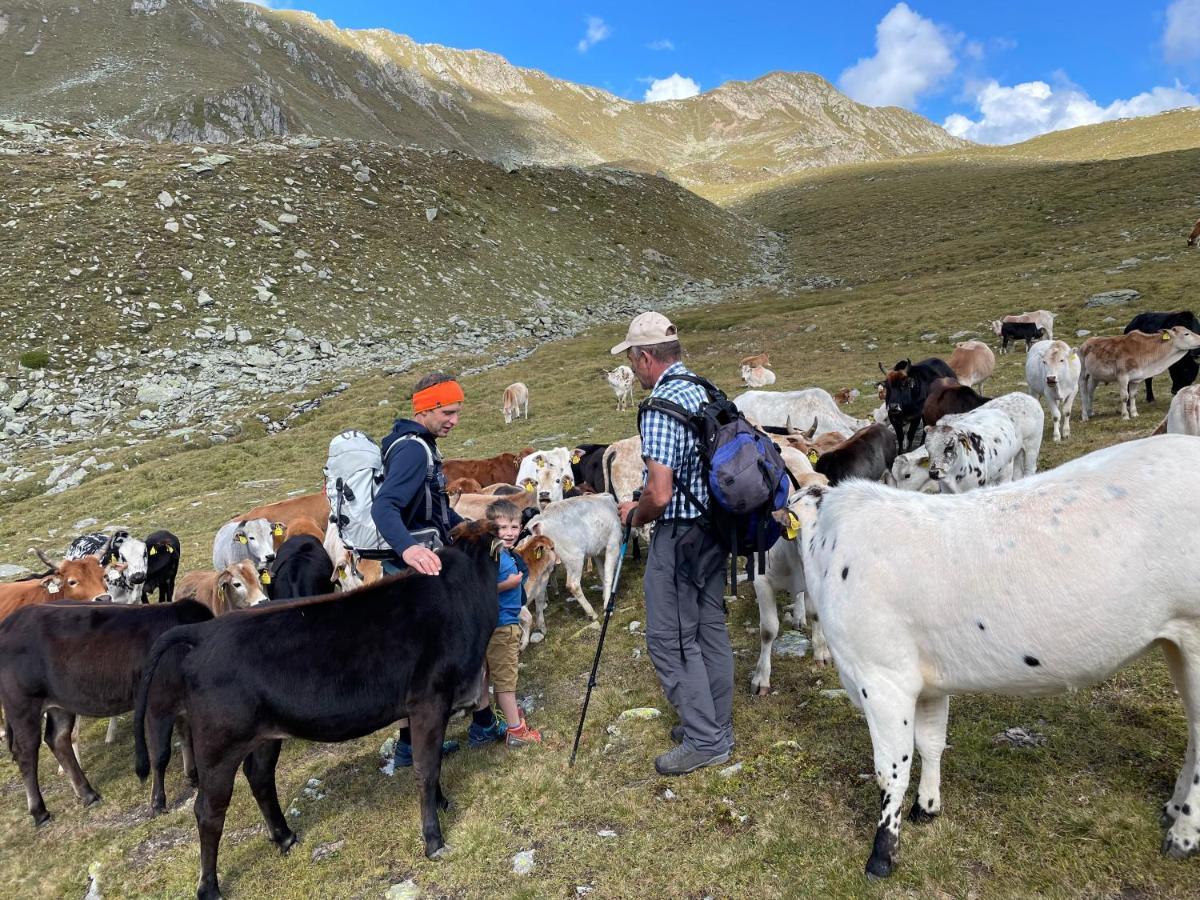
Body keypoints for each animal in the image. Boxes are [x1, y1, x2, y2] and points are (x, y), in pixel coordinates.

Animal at [0, 602, 211, 830]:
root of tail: (11, 621)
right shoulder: (157, 703)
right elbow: (161, 755)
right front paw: (157, 803)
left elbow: (187, 738)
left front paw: (194, 777)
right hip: (22, 705)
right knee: (26, 752)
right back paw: (40, 813)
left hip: (60, 704)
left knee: (58, 738)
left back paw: (88, 794)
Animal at [133, 518, 499, 897]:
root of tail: (203, 633)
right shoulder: (429, 700)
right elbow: (426, 768)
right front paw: (434, 840)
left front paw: (442, 803)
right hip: (218, 745)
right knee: (208, 810)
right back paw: (209, 886)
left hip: (264, 735)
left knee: (259, 777)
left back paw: (285, 837)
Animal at [782, 436, 1200, 883]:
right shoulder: (928, 682)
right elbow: (931, 743)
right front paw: (927, 807)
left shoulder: (882, 679)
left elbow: (891, 768)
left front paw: (882, 854)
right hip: (1177, 640)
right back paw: (1174, 808)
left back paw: (1183, 834)